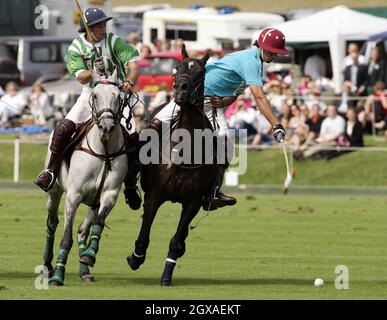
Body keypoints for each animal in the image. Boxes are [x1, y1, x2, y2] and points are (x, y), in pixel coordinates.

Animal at [42, 70, 129, 284]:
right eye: (95, 96)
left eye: (118, 96)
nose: (106, 127)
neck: (103, 150)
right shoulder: (74, 196)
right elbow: (66, 238)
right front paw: (58, 277)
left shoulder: (109, 195)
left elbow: (98, 223)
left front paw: (89, 256)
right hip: (54, 191)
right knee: (52, 224)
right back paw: (48, 267)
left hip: (93, 202)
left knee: (83, 230)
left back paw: (84, 270)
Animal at [127, 44, 218, 284]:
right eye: (176, 69)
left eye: (201, 72)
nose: (179, 90)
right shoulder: (154, 195)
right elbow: (143, 236)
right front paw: (136, 258)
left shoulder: (194, 201)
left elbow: (176, 241)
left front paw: (166, 277)